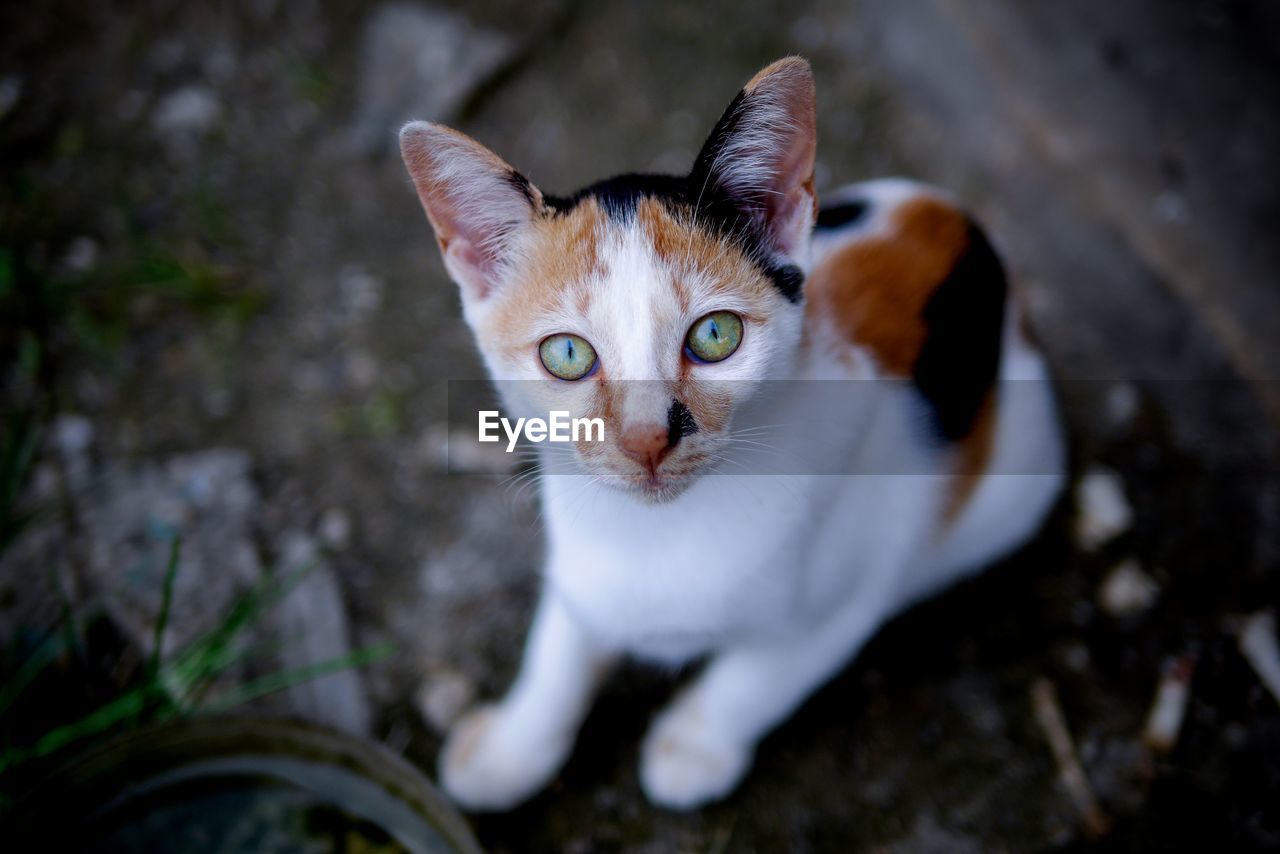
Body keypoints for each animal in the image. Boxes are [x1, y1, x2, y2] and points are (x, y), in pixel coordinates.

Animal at [396, 58, 1059, 809]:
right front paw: (512, 749)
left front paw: (691, 748)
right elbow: (558, 649)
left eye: (715, 336)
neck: (657, 537)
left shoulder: (851, 593)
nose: (646, 438)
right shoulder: (579, 569)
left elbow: (757, 679)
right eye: (566, 354)